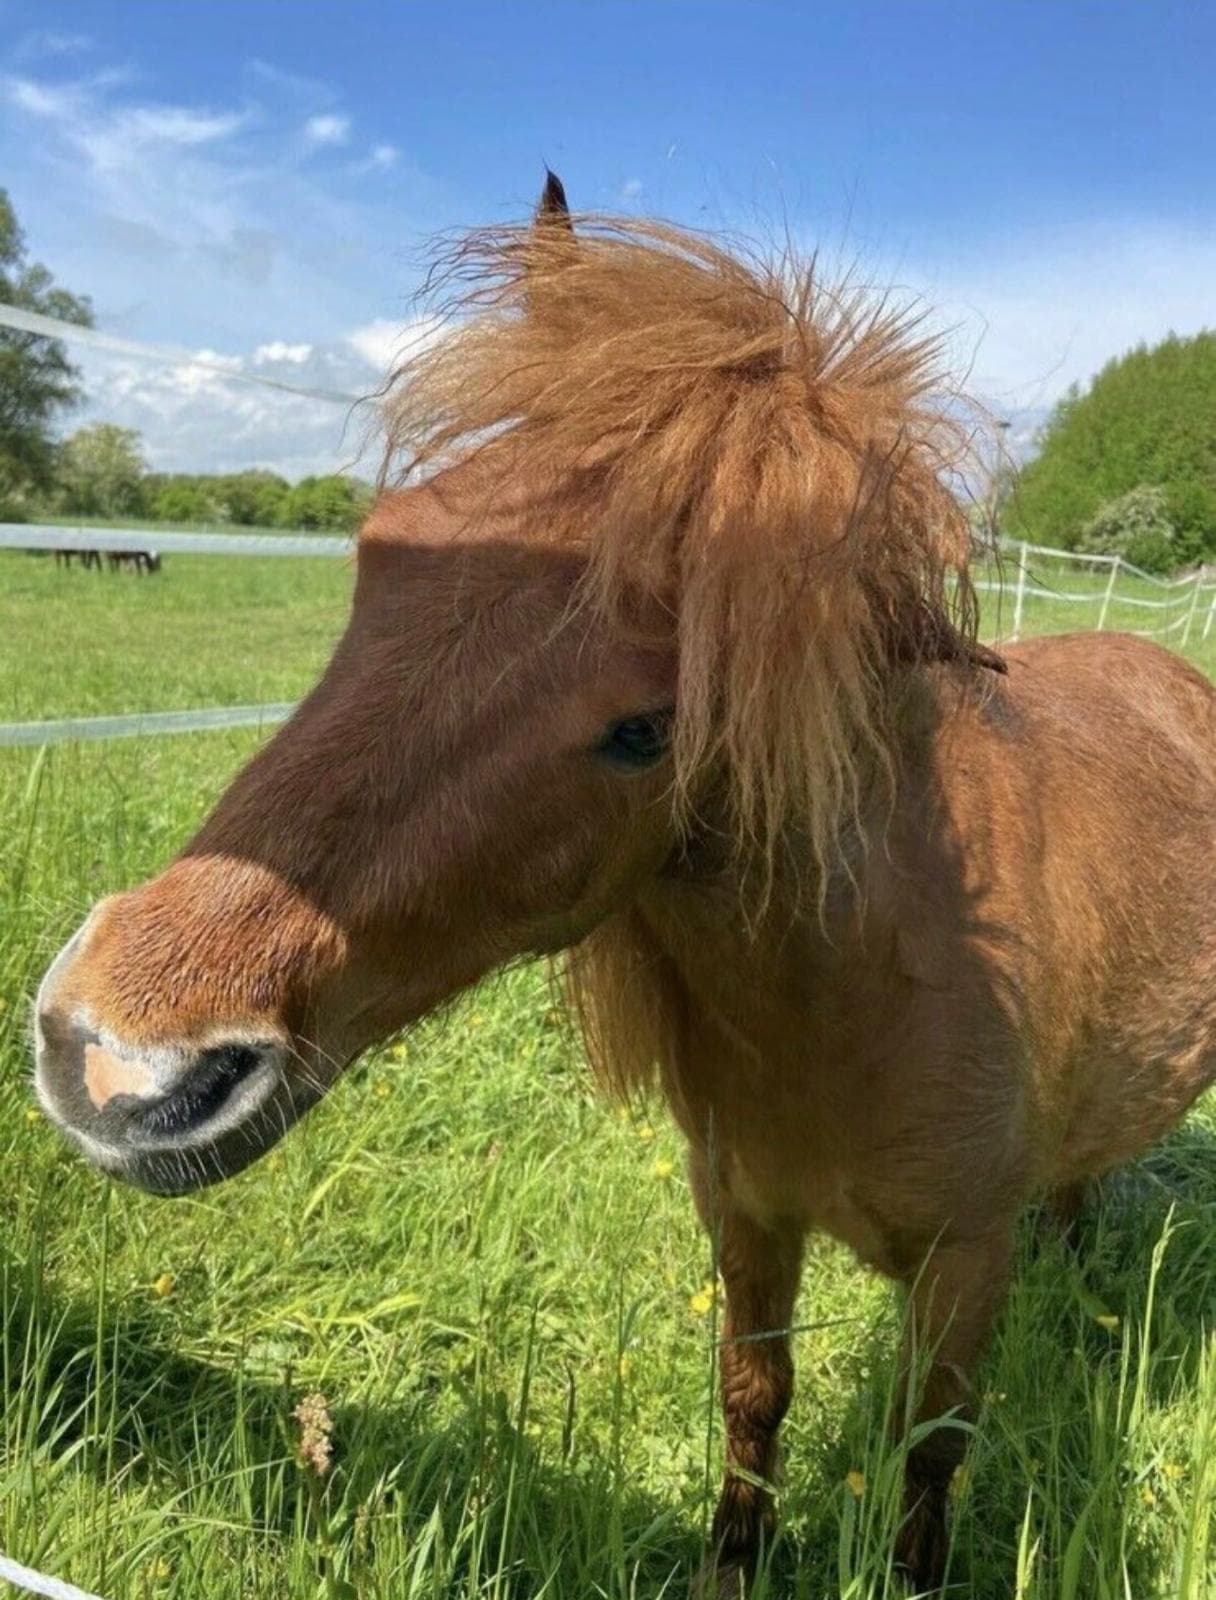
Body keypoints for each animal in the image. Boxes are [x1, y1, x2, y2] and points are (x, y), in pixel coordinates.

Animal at [32, 175, 1216, 1593]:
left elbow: (927, 1467)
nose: (114, 1057)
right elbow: (754, 1405)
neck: (873, 987)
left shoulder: (960, 1268)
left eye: (650, 727)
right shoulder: (746, 1220)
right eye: (379, 551)